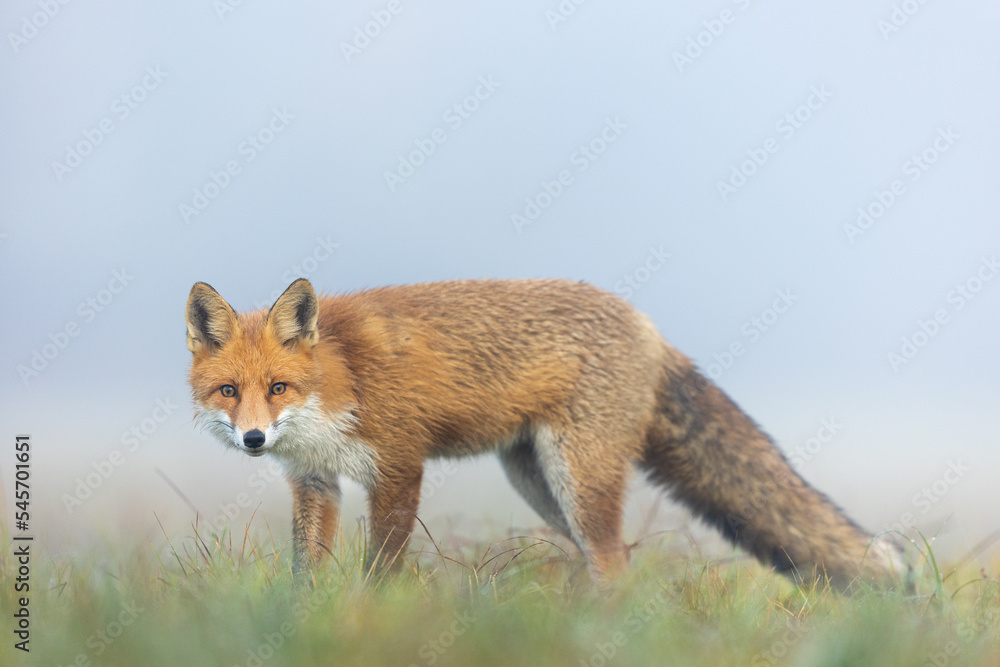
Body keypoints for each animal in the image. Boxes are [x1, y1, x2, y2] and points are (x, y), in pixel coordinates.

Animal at [186, 280, 908, 588]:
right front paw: (305, 619)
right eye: (230, 392)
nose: (254, 440)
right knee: (618, 562)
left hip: (576, 483)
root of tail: (648, 326)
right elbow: (305, 571)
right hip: (543, 487)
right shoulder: (314, 481)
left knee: (615, 564)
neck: (342, 375)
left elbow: (380, 570)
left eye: (279, 387)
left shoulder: (399, 466)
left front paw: (369, 615)